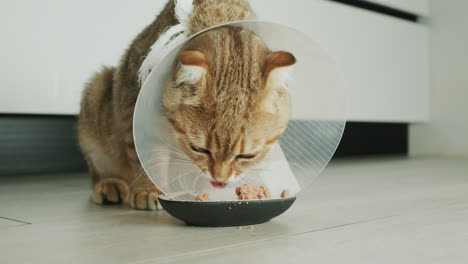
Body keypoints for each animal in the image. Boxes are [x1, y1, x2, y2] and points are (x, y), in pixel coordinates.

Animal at [78, 0, 294, 210]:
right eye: (198, 149)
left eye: (247, 156)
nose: (220, 181)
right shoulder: (133, 109)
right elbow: (146, 156)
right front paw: (147, 188)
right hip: (96, 92)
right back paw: (108, 184)